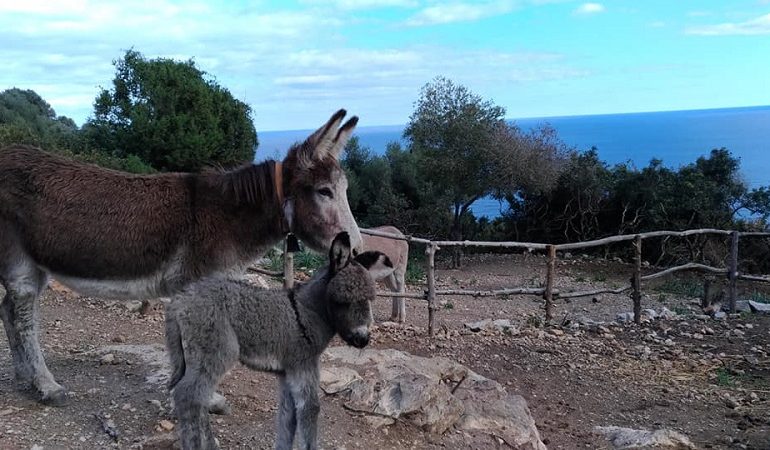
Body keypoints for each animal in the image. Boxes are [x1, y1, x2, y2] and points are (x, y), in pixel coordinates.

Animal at [166, 232, 392, 450]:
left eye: (369, 300)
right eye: (342, 301)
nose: (363, 339)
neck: (306, 311)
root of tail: (180, 299)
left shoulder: (287, 372)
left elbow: (287, 416)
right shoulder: (304, 364)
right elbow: (310, 410)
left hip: (193, 357)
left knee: (195, 397)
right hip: (216, 351)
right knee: (188, 396)